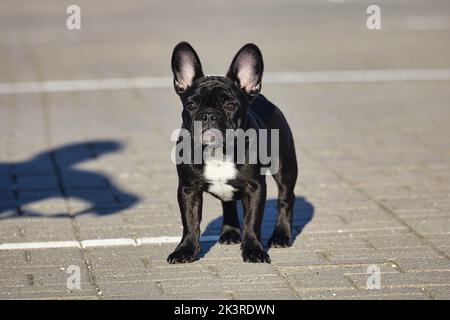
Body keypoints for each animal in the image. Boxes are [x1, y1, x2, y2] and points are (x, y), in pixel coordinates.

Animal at [167, 42, 298, 262]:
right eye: (191, 105)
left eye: (230, 105)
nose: (208, 115)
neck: (218, 151)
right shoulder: (188, 189)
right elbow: (190, 222)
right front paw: (185, 250)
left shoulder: (254, 188)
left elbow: (252, 221)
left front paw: (253, 250)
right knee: (227, 203)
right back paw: (230, 233)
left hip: (284, 167)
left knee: (285, 198)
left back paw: (281, 235)